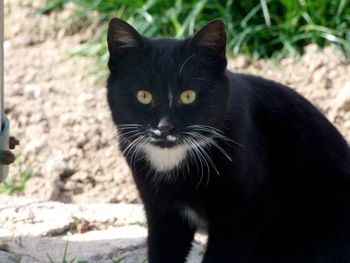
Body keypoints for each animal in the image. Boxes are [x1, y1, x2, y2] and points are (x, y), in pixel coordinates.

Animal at [106, 18, 350, 263]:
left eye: (188, 95)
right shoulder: (161, 211)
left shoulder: (243, 214)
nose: (164, 127)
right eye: (144, 95)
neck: (172, 159)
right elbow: (162, 249)